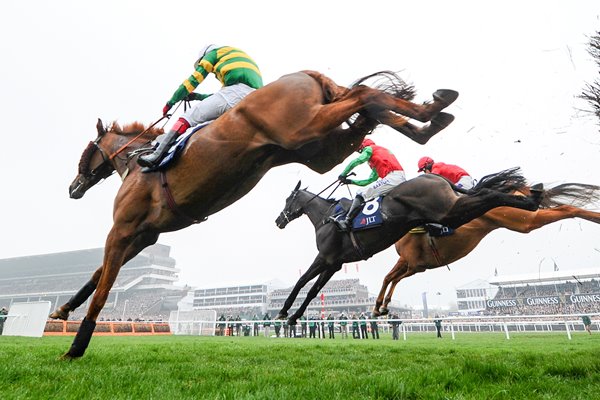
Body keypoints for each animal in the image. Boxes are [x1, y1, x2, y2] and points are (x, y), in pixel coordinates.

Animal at [52, 69, 460, 360]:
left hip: (305, 128)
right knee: (367, 113)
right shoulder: (144, 235)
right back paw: (430, 117)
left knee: (364, 97)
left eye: (86, 150)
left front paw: (76, 345)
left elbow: (105, 283)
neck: (137, 163)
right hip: (319, 149)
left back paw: (432, 112)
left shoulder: (123, 228)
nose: (73, 187)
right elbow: (98, 275)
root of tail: (307, 73)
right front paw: (63, 310)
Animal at [274, 170, 548, 326]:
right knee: (487, 195)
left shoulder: (326, 258)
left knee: (489, 197)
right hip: (452, 213)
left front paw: (285, 313)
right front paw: (293, 315)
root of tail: (437, 177)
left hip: (449, 212)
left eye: (288, 199)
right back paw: (531, 199)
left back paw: (530, 199)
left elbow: (303, 284)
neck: (326, 217)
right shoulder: (336, 263)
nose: (278, 220)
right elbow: (311, 289)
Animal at [372, 183, 600, 318]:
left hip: (523, 221)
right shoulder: (413, 264)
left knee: (566, 209)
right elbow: (391, 278)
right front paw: (382, 306)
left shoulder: (412, 263)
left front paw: (379, 306)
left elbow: (390, 277)